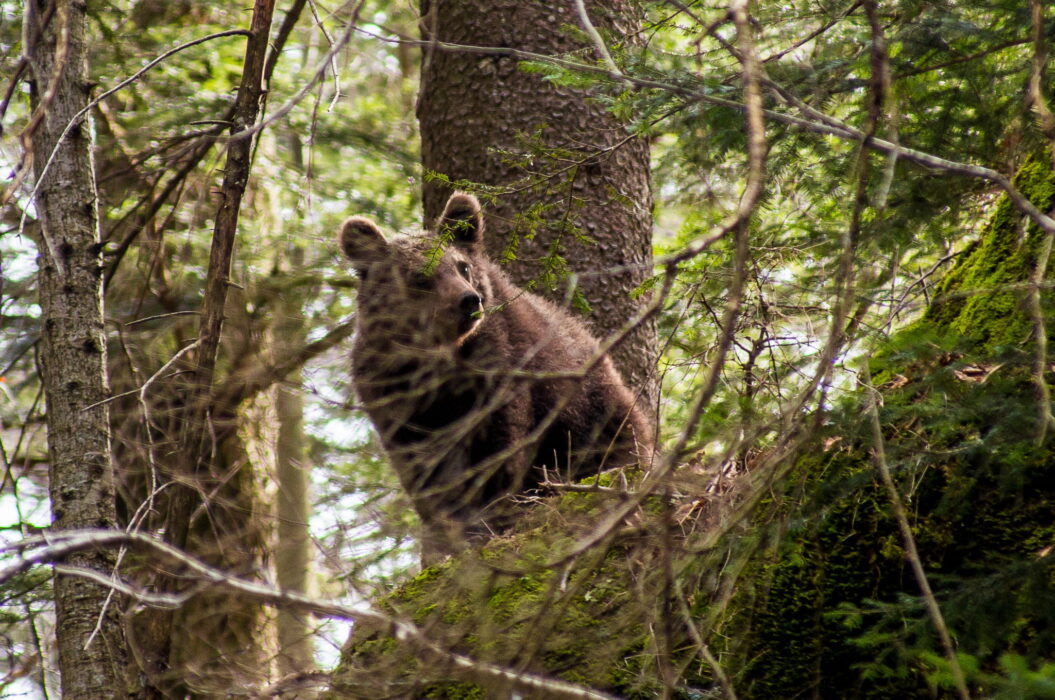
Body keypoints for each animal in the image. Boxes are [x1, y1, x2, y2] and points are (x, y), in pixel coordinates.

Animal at [339, 192, 654, 553]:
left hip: (590, 408)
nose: (468, 300)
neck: (437, 359)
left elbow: (498, 449)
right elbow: (422, 468)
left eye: (462, 266)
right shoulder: (392, 393)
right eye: (420, 276)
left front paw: (490, 519)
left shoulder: (502, 370)